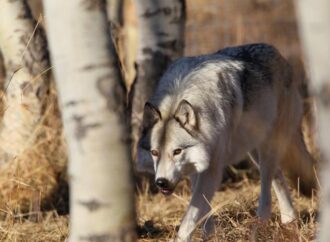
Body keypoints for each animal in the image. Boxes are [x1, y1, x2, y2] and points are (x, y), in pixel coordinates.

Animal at [136, 43, 314, 240]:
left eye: (177, 151)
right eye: (154, 153)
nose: (161, 182)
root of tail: (280, 56)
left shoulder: (212, 168)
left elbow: (190, 216)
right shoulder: (196, 166)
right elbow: (203, 208)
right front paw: (210, 235)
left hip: (268, 148)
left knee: (267, 192)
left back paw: (259, 228)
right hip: (254, 150)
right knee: (279, 178)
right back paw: (289, 221)